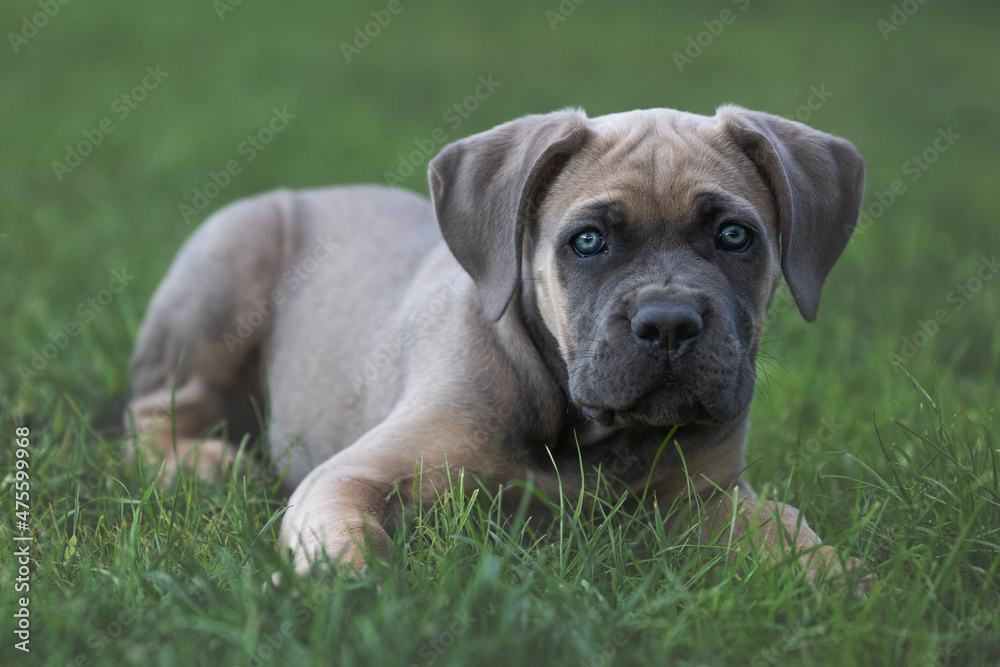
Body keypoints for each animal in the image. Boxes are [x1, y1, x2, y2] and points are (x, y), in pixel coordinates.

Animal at [129, 104, 868, 584]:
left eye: (734, 236)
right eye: (588, 241)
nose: (668, 324)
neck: (584, 436)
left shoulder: (710, 497)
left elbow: (785, 531)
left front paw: (839, 580)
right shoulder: (350, 474)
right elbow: (342, 535)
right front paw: (352, 590)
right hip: (226, 271)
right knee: (151, 412)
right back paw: (202, 463)